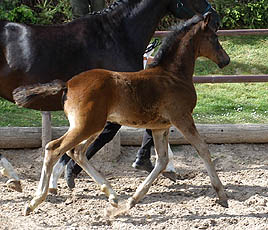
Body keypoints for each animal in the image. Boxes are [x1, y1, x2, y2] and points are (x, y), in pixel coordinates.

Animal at [13, 13, 230, 217]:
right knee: (54, 148)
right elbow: (203, 149)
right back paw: (34, 202)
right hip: (86, 125)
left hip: (92, 126)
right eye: (214, 37)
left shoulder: (160, 127)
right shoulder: (182, 118)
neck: (173, 75)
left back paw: (112, 195)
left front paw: (133, 200)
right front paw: (222, 196)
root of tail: (68, 84)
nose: (225, 60)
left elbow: (162, 161)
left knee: (77, 152)